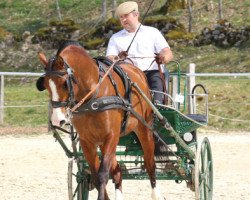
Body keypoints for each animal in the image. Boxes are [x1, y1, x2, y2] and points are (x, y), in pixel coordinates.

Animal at [35, 41, 164, 200]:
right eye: (46, 85)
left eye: (65, 84)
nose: (57, 120)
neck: (93, 96)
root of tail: (137, 72)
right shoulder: (87, 141)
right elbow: (96, 177)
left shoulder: (111, 136)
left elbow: (102, 175)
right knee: (117, 171)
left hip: (144, 128)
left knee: (150, 163)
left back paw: (156, 194)